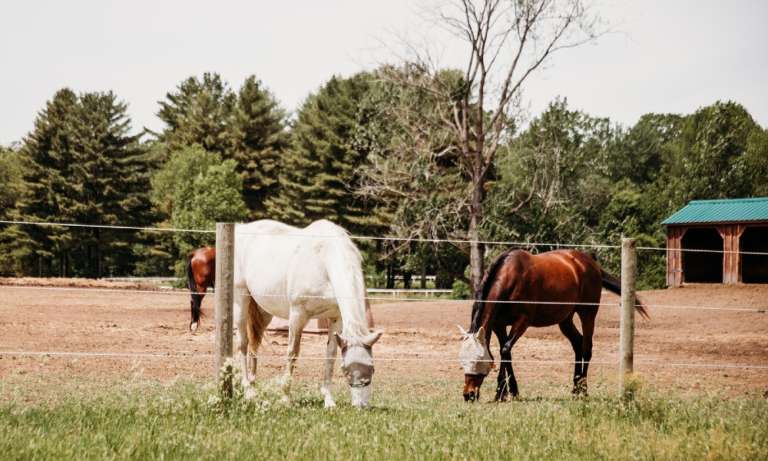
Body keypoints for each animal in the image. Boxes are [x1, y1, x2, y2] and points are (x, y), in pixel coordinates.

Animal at [234, 219, 383, 408]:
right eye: (345, 370)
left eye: (372, 368)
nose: (361, 405)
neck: (324, 259)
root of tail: (241, 228)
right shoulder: (298, 315)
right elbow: (292, 352)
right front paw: (286, 398)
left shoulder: (336, 318)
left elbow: (330, 354)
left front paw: (328, 400)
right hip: (241, 300)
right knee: (243, 343)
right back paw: (248, 390)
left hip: (264, 311)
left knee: (254, 344)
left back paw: (253, 387)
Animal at [459, 249, 648, 402]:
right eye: (462, 360)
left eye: (477, 360)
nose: (468, 395)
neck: (511, 278)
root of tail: (590, 263)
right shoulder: (499, 325)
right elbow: (505, 353)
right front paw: (506, 392)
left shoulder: (522, 322)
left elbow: (505, 350)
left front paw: (504, 392)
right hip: (565, 320)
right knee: (578, 344)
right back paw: (575, 389)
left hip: (587, 314)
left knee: (587, 348)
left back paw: (583, 390)